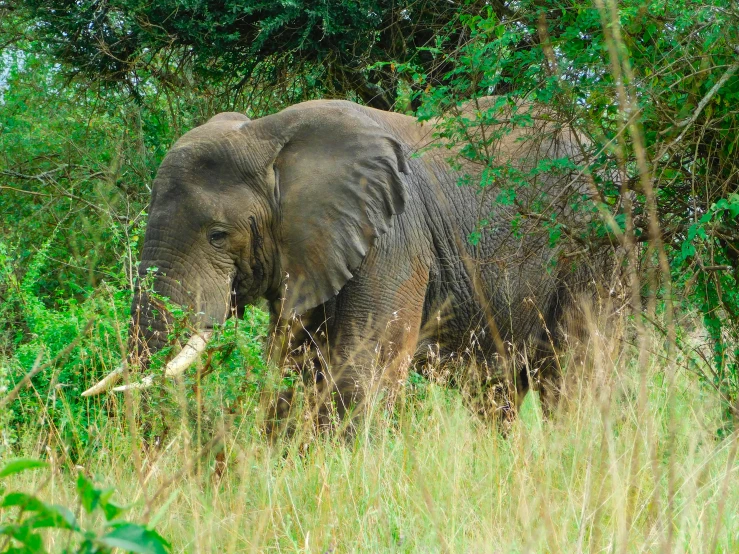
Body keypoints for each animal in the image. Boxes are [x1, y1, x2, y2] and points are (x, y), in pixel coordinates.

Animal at [84, 98, 608, 426]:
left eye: (218, 235)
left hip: (593, 244)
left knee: (576, 370)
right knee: (495, 392)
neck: (269, 136)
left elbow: (361, 372)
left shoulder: (395, 237)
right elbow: (293, 371)